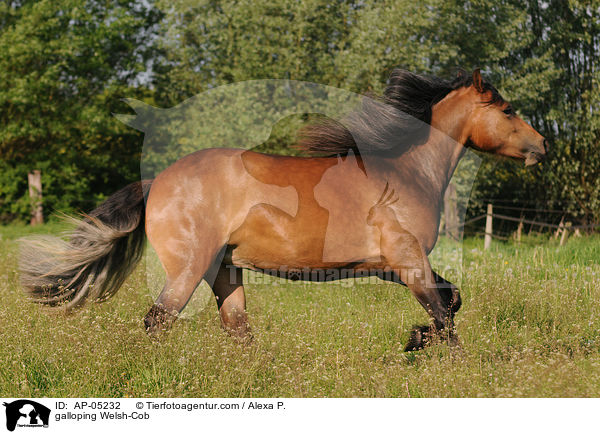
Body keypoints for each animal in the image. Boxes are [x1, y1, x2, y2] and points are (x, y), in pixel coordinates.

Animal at [18, 69, 548, 350]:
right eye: (506, 111)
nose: (542, 145)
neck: (406, 172)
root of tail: (158, 181)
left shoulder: (392, 264)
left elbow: (451, 300)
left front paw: (415, 340)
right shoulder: (406, 259)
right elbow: (444, 314)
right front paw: (432, 349)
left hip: (225, 270)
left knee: (237, 330)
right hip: (188, 269)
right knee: (158, 322)